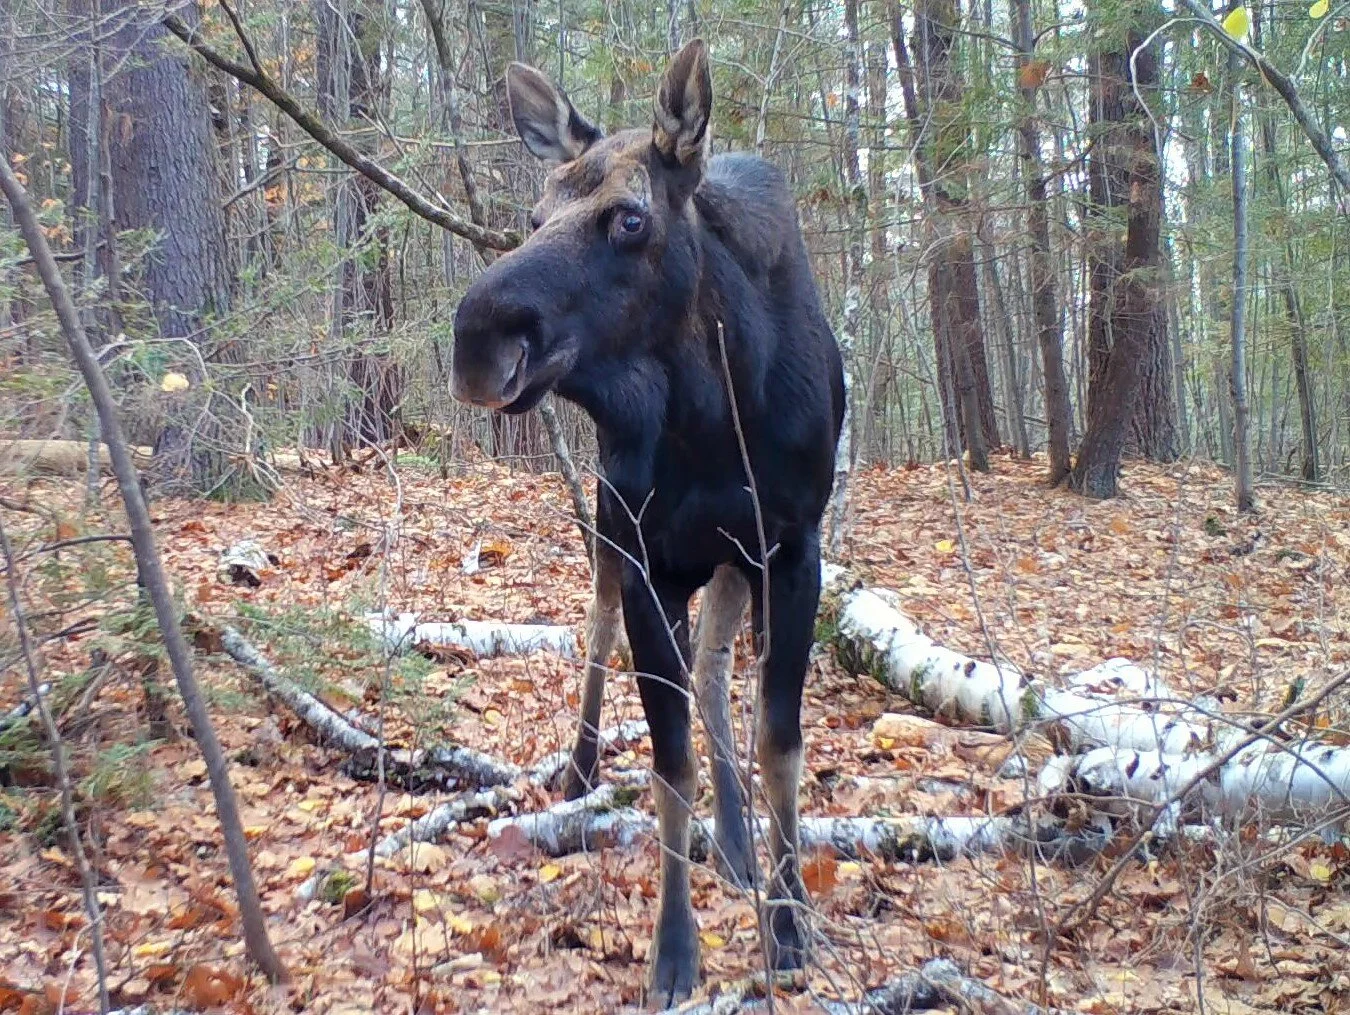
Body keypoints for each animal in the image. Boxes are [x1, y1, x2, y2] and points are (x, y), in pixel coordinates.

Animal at [450, 39, 844, 1007]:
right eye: (535, 213)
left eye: (629, 219)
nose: (479, 339)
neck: (715, 408)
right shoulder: (644, 555)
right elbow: (670, 766)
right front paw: (675, 951)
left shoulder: (793, 546)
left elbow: (779, 740)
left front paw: (788, 924)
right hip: (609, 519)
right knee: (595, 629)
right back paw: (583, 764)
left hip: (730, 560)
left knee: (711, 668)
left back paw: (739, 845)